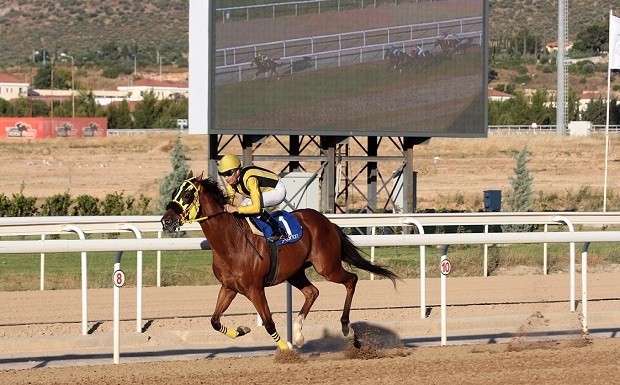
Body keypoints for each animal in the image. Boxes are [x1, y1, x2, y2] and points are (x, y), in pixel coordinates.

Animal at [160, 172, 398, 352]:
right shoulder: (229, 287)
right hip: (295, 272)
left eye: (188, 194)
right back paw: (299, 333)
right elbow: (214, 321)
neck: (232, 242)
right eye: (174, 193)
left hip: (327, 267)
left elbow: (268, 322)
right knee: (312, 292)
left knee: (351, 280)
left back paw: (347, 328)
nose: (166, 221)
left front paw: (286, 350)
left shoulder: (255, 288)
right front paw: (243, 330)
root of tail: (326, 221)